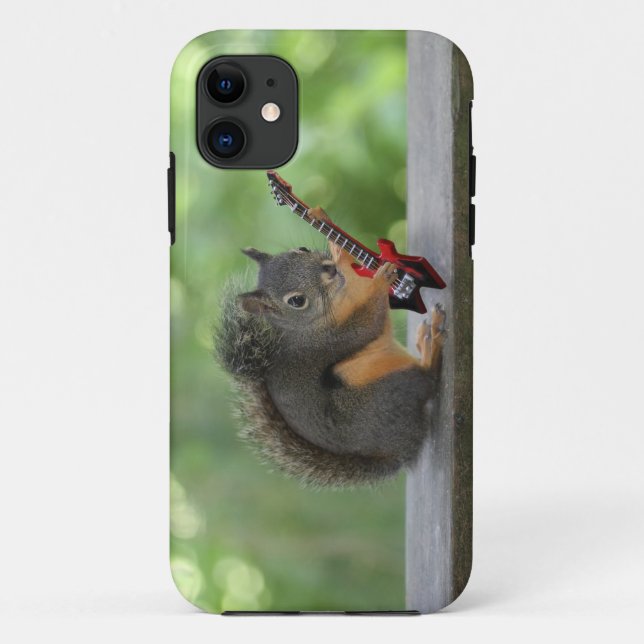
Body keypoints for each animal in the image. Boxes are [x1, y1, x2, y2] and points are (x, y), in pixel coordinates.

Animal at [214, 206, 446, 488]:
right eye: (297, 301)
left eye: (301, 249)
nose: (329, 270)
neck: (339, 296)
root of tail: (398, 450)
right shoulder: (330, 340)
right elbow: (369, 324)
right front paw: (380, 281)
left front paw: (333, 237)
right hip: (383, 393)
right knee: (428, 380)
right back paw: (432, 345)